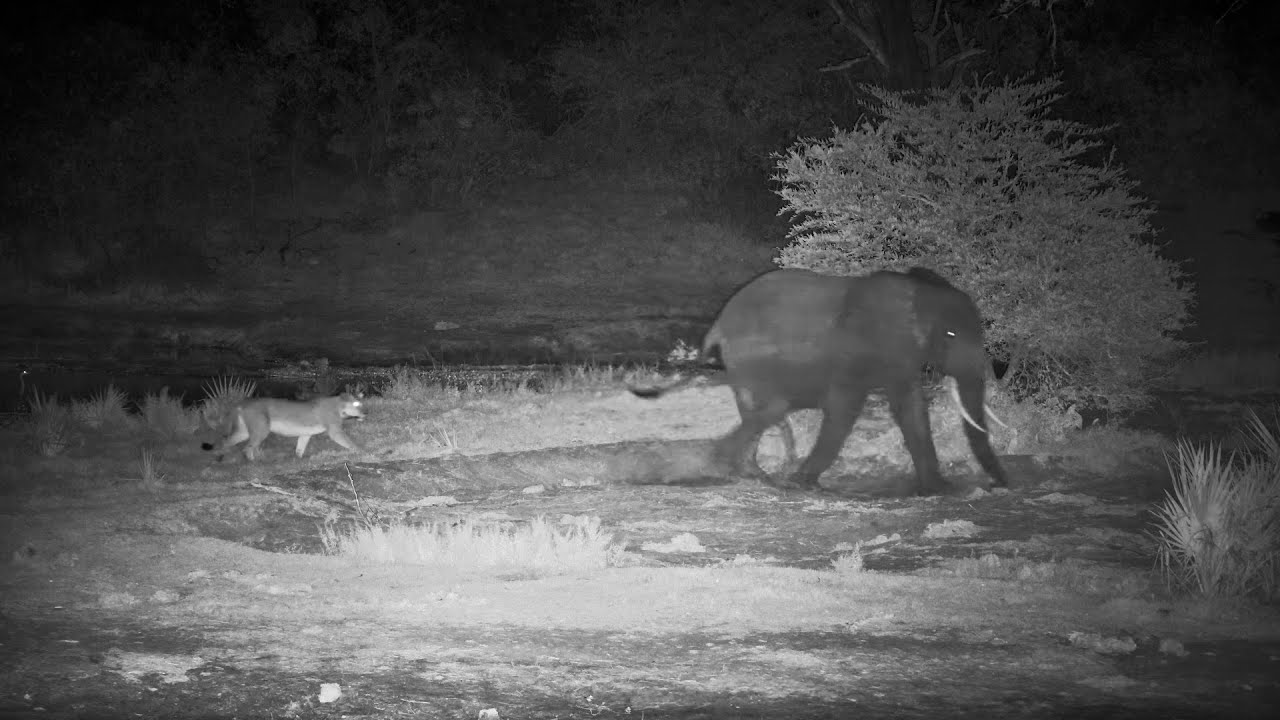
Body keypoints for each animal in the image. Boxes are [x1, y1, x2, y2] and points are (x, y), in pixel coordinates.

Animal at [632, 267, 1009, 496]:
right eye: (950, 335)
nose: (1001, 484)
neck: (918, 292)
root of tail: (718, 324)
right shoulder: (859, 352)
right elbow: (845, 409)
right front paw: (803, 482)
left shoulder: (899, 357)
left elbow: (911, 409)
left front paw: (939, 489)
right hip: (752, 362)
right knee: (769, 409)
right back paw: (734, 466)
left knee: (761, 413)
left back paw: (749, 472)